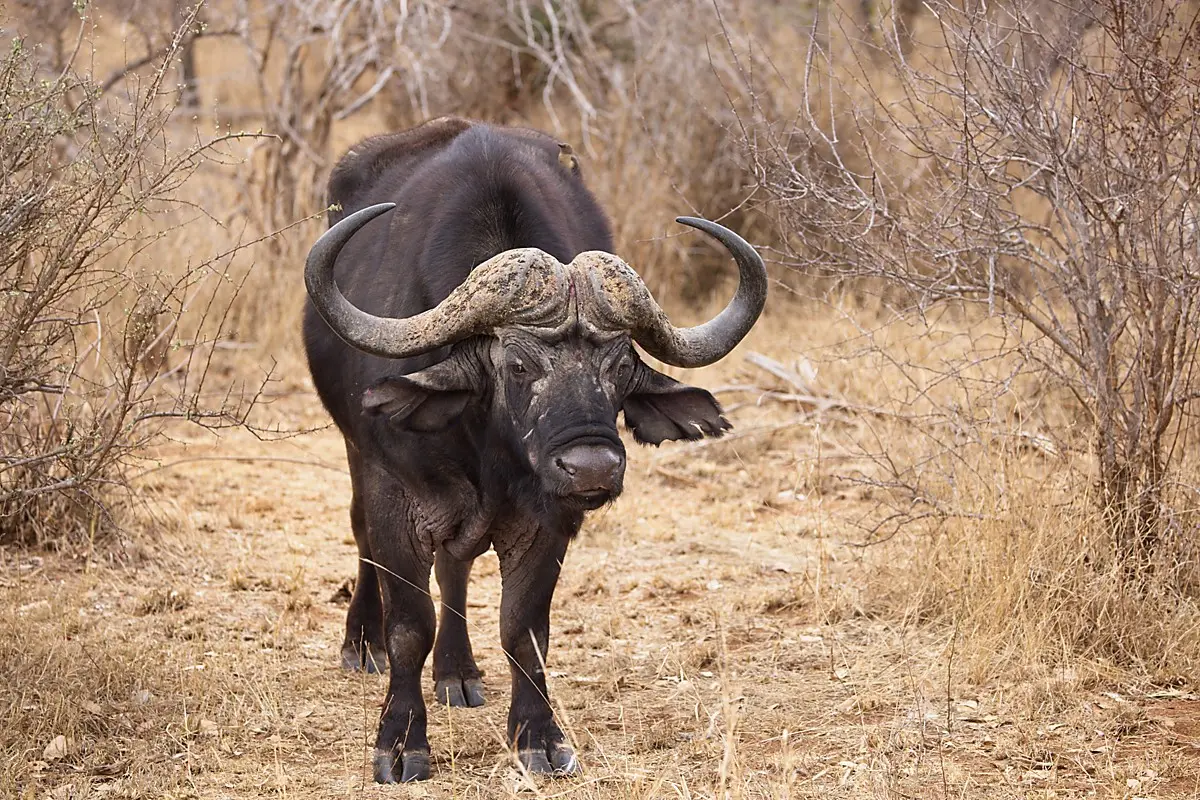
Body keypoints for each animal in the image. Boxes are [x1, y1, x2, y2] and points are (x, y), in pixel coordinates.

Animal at [302, 115, 768, 777]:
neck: (489, 454)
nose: (592, 467)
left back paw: (458, 671)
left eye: (619, 366)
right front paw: (401, 740)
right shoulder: (395, 496)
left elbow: (524, 629)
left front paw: (538, 737)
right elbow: (409, 626)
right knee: (362, 532)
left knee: (455, 567)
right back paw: (363, 643)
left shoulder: (550, 521)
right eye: (519, 364)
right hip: (354, 455)